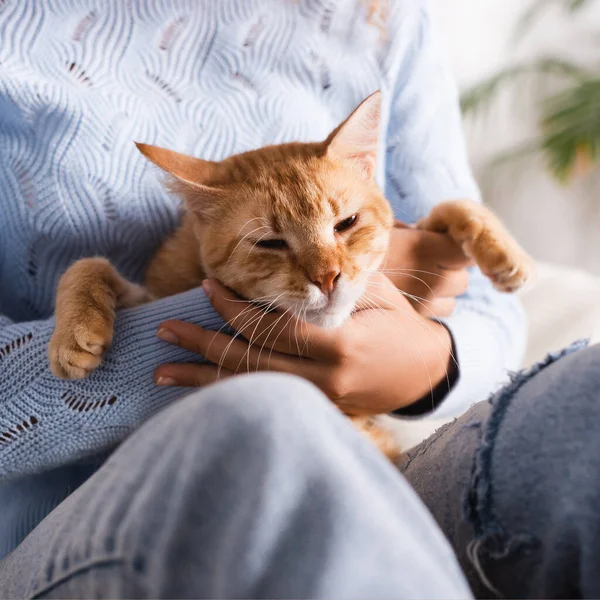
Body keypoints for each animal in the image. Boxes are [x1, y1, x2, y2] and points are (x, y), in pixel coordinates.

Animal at [48, 92, 536, 460]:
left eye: (346, 223)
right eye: (271, 243)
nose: (328, 277)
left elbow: (445, 207)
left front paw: (500, 248)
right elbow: (88, 264)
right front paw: (74, 331)